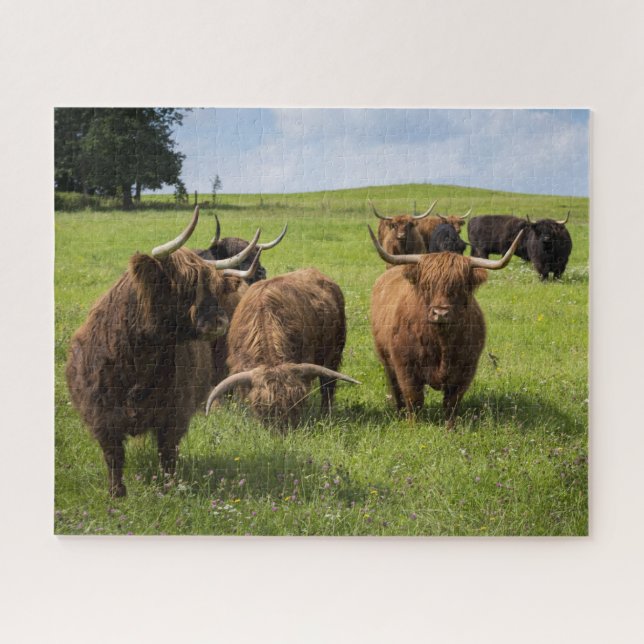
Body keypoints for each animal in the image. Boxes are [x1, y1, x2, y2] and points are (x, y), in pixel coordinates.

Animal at [65, 206, 262, 497]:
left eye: (213, 286)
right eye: (182, 285)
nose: (218, 321)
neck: (138, 361)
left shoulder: (174, 413)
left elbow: (168, 453)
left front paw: (168, 488)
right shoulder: (101, 413)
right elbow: (113, 455)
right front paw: (117, 493)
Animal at [205, 268, 359, 427]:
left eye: (296, 406)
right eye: (263, 409)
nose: (284, 431)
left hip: (334, 352)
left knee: (327, 385)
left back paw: (325, 415)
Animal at [369, 225, 523, 426]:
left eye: (459, 286)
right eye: (427, 285)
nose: (440, 313)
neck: (441, 341)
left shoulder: (466, 369)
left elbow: (452, 402)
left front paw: (450, 427)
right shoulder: (405, 366)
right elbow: (413, 398)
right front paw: (413, 425)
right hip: (386, 359)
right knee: (396, 390)